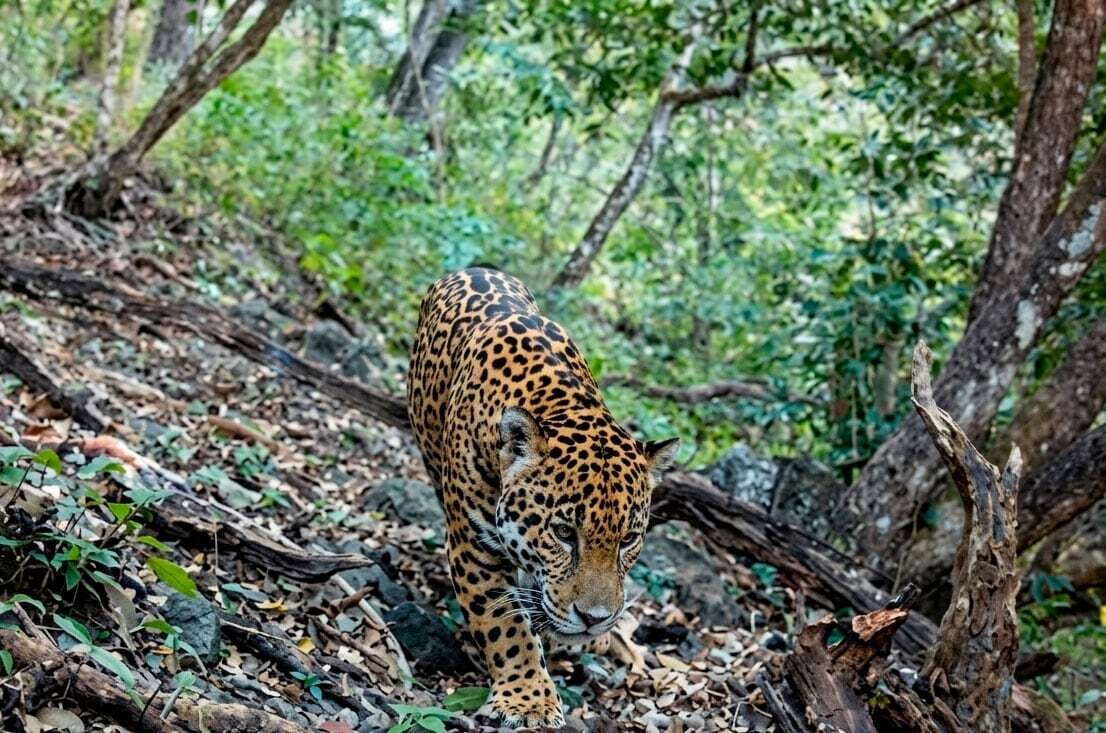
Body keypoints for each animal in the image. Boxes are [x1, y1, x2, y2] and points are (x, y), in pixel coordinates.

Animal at [407, 267, 678, 728]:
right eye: (565, 533)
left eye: (627, 540)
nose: (594, 620)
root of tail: (476, 267)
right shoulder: (473, 545)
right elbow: (505, 625)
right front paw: (528, 700)